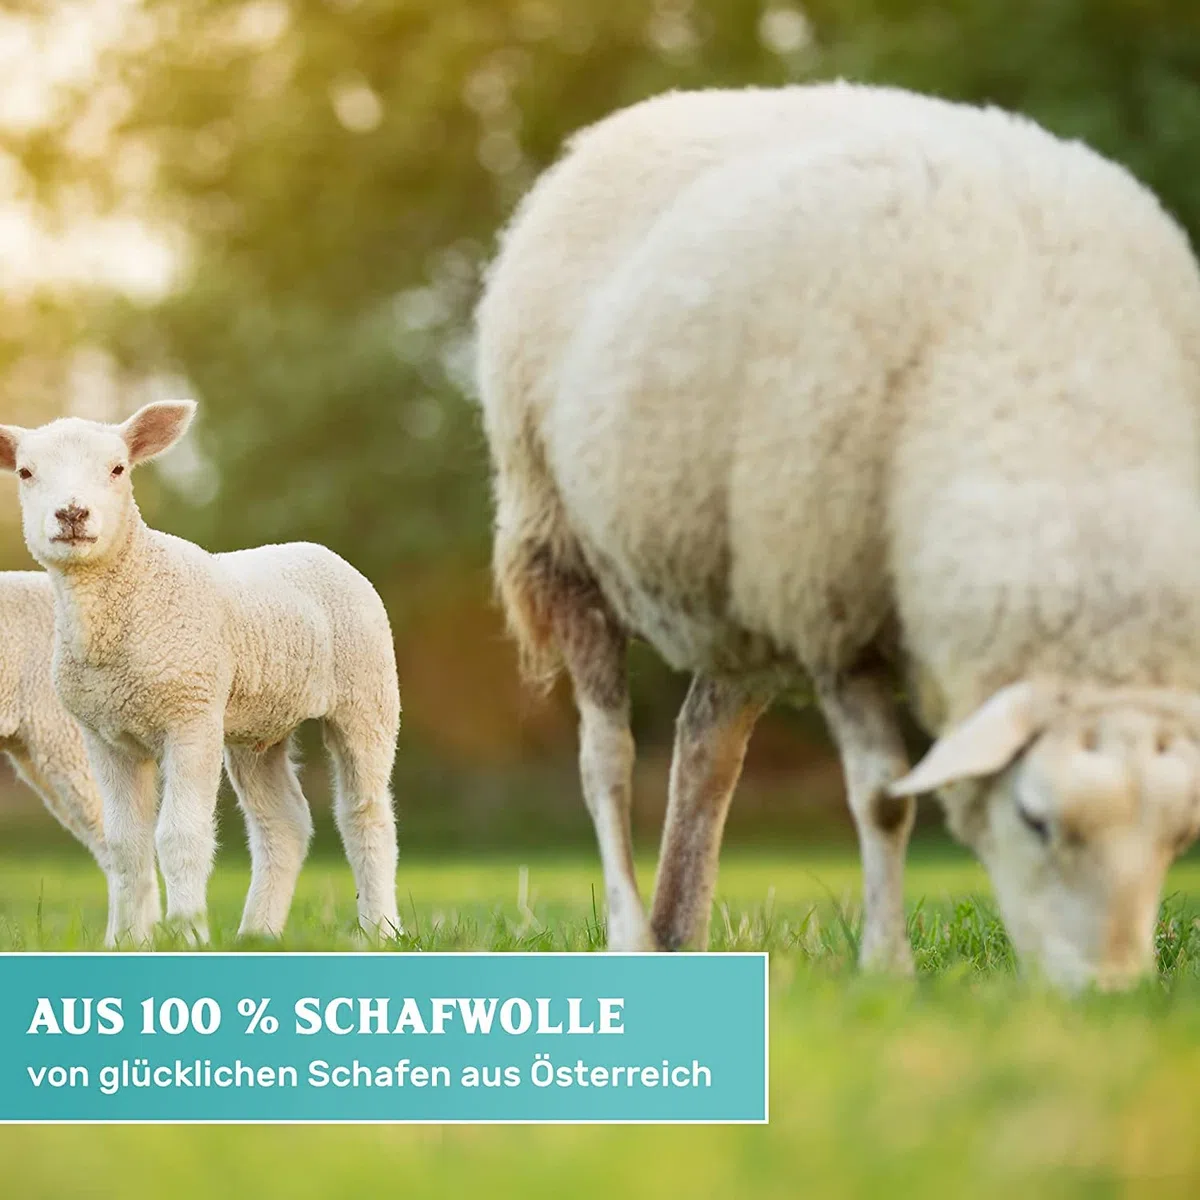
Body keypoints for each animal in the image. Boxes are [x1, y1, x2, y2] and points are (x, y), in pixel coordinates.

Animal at [0, 402, 401, 945]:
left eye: (118, 468)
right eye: (25, 472)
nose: (72, 514)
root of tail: (318, 550)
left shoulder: (189, 718)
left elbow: (179, 837)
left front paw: (186, 934)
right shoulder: (103, 734)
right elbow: (124, 844)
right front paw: (129, 943)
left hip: (367, 694)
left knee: (366, 814)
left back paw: (380, 929)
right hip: (257, 726)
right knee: (284, 823)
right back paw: (257, 935)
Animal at [475, 81, 1200, 989]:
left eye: (1179, 838)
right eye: (1036, 820)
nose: (1106, 994)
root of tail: (637, 117)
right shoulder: (833, 611)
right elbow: (883, 796)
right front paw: (887, 968)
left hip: (738, 581)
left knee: (705, 748)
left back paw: (682, 929)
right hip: (562, 539)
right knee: (606, 756)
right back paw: (633, 934)